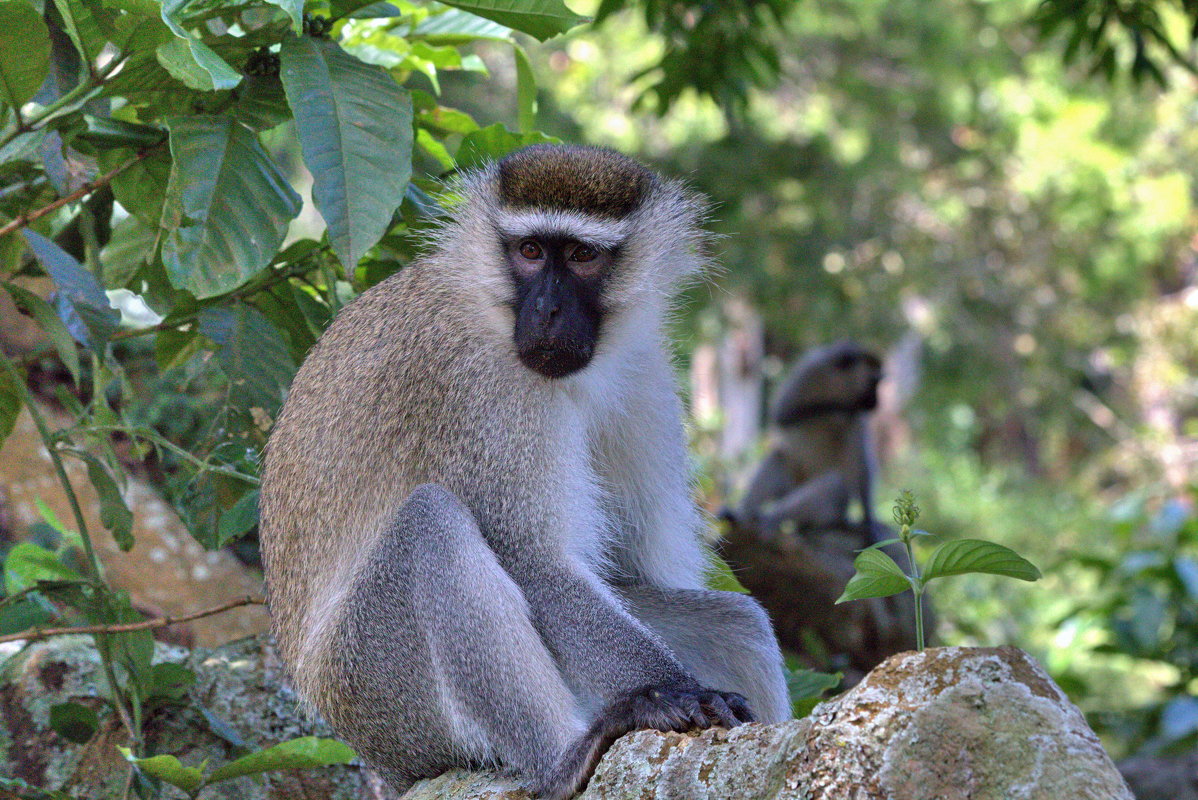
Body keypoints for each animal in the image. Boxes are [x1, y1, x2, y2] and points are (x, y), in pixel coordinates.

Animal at [258, 145, 790, 800]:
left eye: (583, 256)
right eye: (530, 251)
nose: (548, 309)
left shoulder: (644, 371)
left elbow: (627, 572)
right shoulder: (480, 387)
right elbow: (531, 561)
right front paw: (679, 691)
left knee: (739, 622)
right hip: (380, 692)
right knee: (429, 529)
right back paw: (562, 762)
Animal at [723, 340, 886, 541]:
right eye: (874, 382)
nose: (877, 401)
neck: (835, 386)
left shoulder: (858, 418)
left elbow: (862, 466)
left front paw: (869, 519)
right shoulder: (809, 370)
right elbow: (782, 414)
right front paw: (837, 410)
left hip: (833, 510)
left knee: (834, 485)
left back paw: (773, 518)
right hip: (793, 482)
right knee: (779, 458)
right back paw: (743, 516)